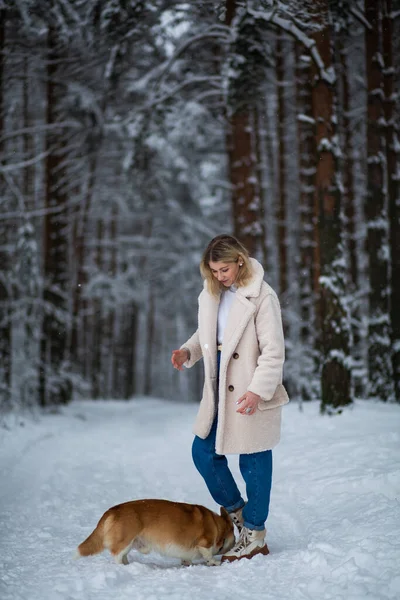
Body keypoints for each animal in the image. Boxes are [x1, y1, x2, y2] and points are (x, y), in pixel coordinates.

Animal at [76, 496, 234, 568]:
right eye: (234, 531)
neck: (217, 525)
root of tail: (112, 510)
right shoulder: (204, 543)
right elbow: (208, 555)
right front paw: (214, 562)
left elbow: (186, 559)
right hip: (125, 540)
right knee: (117, 555)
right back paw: (122, 567)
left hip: (130, 543)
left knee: (123, 555)